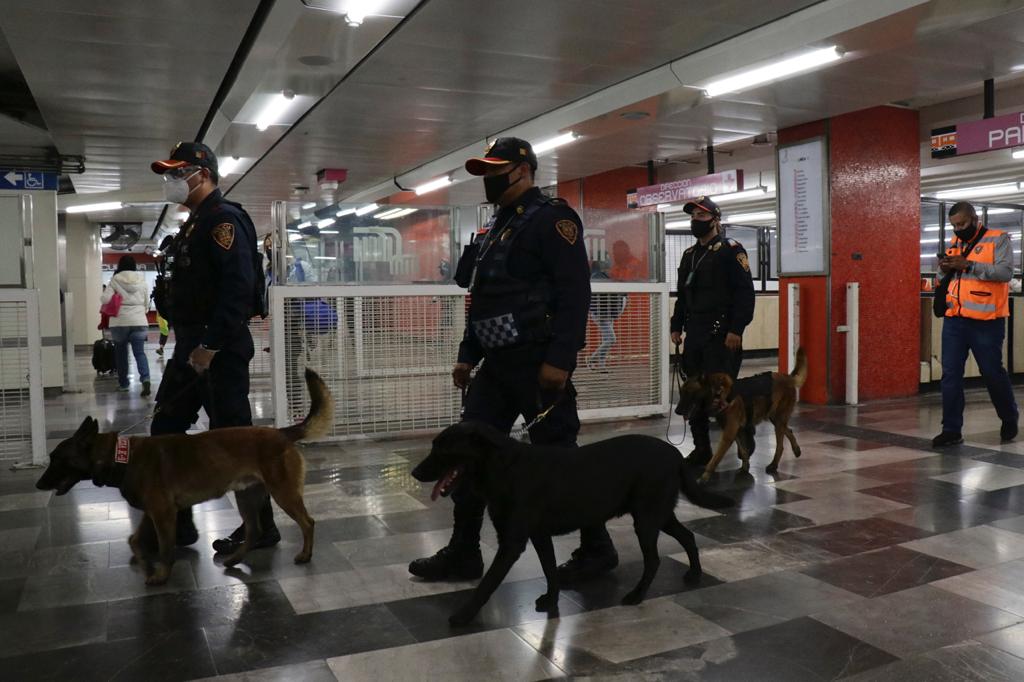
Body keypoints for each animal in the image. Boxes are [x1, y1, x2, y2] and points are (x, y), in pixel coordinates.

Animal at [35, 368, 331, 581]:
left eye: (57, 459)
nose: (38, 484)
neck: (122, 457)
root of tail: (282, 433)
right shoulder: (153, 513)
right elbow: (134, 540)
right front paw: (144, 562)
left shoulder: (163, 514)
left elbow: (166, 550)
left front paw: (161, 575)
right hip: (247, 496)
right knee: (254, 530)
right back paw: (234, 559)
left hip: (283, 493)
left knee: (308, 522)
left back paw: (305, 554)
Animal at [411, 421, 733, 622]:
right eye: (434, 445)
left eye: (442, 448)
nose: (414, 472)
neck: (504, 467)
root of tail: (675, 453)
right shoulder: (539, 536)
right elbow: (550, 570)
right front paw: (551, 600)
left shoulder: (512, 544)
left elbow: (487, 584)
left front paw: (463, 615)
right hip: (659, 515)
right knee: (687, 536)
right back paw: (694, 573)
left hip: (646, 518)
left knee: (653, 559)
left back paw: (636, 595)